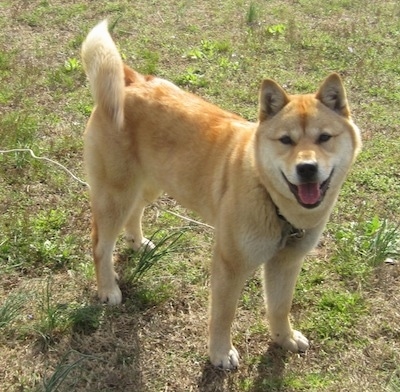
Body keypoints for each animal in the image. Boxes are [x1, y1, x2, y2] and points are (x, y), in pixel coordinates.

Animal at [81, 20, 362, 370]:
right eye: (286, 140)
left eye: (325, 138)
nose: (307, 168)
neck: (273, 201)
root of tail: (133, 80)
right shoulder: (229, 265)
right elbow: (224, 315)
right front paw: (220, 353)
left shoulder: (286, 262)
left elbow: (280, 306)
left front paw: (283, 339)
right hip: (115, 194)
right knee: (100, 245)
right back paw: (108, 288)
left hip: (151, 183)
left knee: (136, 212)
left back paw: (137, 242)